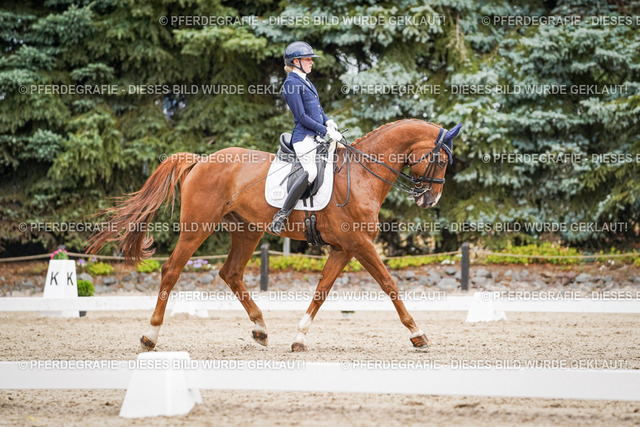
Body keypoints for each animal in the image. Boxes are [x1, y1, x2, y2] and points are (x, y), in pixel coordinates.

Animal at [88, 118, 460, 352]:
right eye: (442, 160)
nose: (430, 199)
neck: (362, 174)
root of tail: (200, 160)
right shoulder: (359, 243)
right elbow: (389, 284)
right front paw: (418, 334)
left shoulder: (343, 248)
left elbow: (321, 292)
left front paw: (299, 338)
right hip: (198, 227)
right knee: (171, 270)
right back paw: (150, 336)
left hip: (247, 231)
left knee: (230, 273)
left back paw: (260, 329)